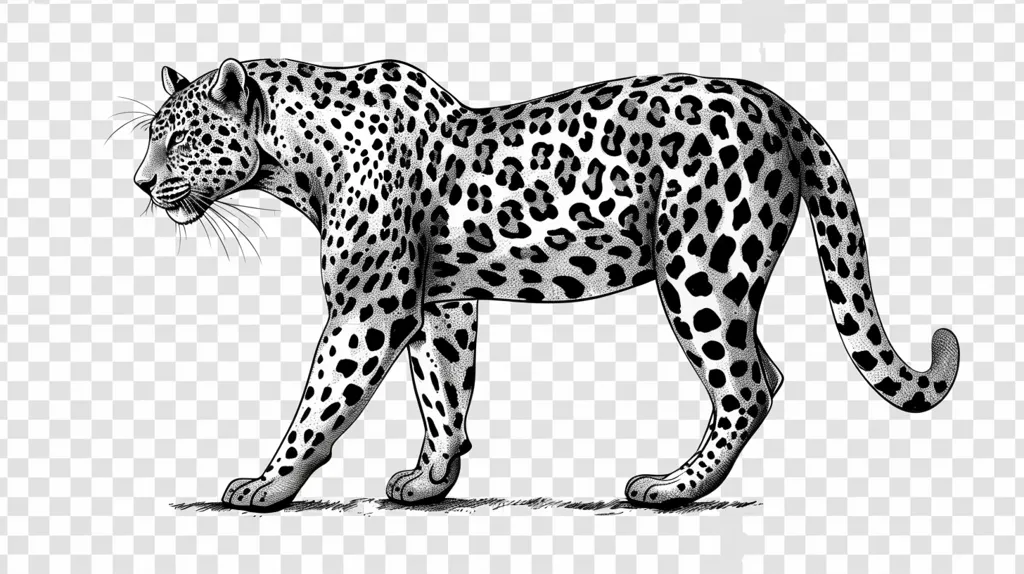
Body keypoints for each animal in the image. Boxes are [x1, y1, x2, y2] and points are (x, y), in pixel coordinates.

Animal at [134, 58, 961, 512]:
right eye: (151, 136)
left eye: (182, 138)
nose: (141, 183)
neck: (297, 156)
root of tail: (782, 108)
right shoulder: (440, 301)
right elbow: (444, 390)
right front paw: (431, 479)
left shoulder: (371, 305)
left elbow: (322, 401)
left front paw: (266, 486)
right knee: (765, 373)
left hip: (703, 268)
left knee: (747, 384)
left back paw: (671, 487)